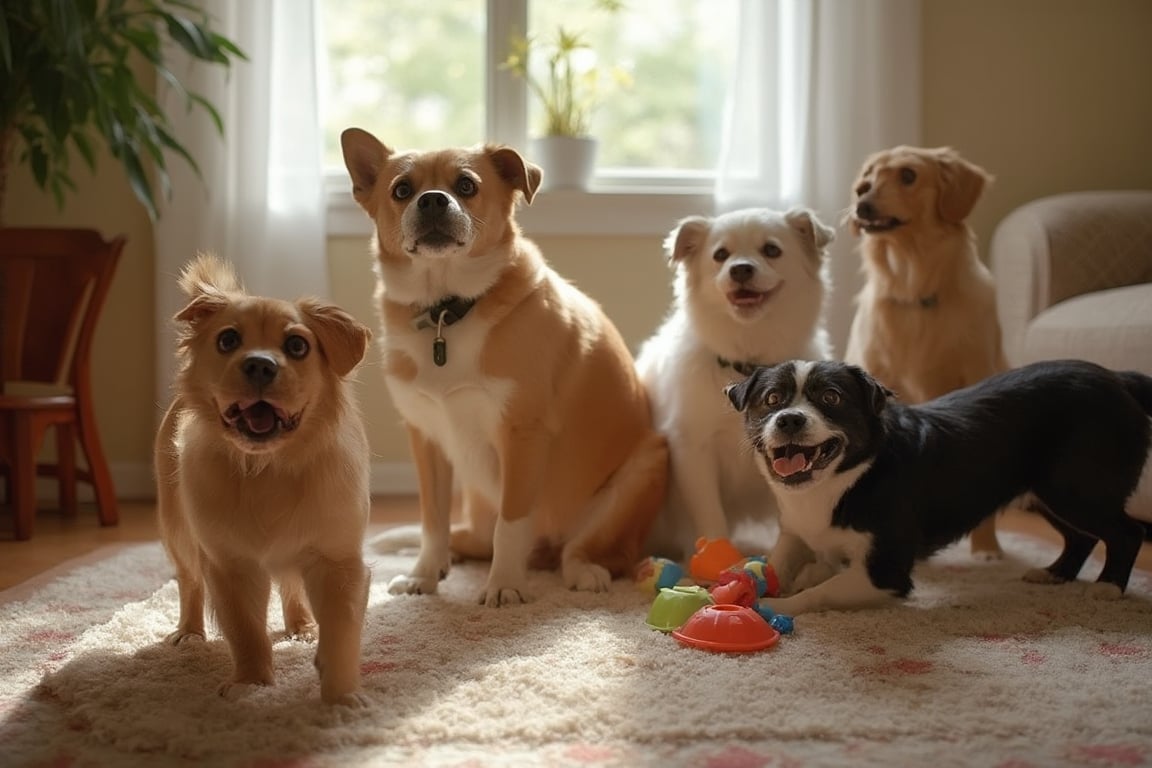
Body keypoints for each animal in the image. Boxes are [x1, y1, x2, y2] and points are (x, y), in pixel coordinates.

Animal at [154, 255, 373, 704]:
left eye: (297, 346)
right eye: (227, 340)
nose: (259, 363)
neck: (268, 466)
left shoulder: (338, 561)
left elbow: (342, 633)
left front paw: (341, 697)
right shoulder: (229, 565)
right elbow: (246, 631)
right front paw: (251, 684)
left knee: (290, 585)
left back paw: (302, 628)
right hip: (177, 532)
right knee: (189, 583)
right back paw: (189, 633)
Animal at [338, 126, 668, 607]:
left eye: (466, 185)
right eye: (402, 190)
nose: (432, 200)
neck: (447, 310)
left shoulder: (522, 434)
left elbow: (512, 524)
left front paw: (505, 585)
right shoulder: (426, 437)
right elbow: (432, 521)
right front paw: (424, 575)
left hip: (644, 467)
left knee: (585, 551)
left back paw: (582, 571)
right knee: (468, 538)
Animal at [635, 207, 834, 561]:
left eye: (772, 250)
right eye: (720, 255)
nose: (740, 269)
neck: (747, 364)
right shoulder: (694, 451)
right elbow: (710, 517)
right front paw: (718, 560)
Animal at [728, 361, 1152, 617]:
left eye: (831, 397)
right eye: (771, 399)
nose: (789, 419)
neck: (845, 478)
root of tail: (1118, 378)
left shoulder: (886, 572)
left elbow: (822, 591)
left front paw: (777, 606)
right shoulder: (795, 532)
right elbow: (776, 563)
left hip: (1075, 488)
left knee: (1126, 532)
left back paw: (1108, 587)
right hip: (1044, 494)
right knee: (1081, 537)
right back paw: (1055, 573)